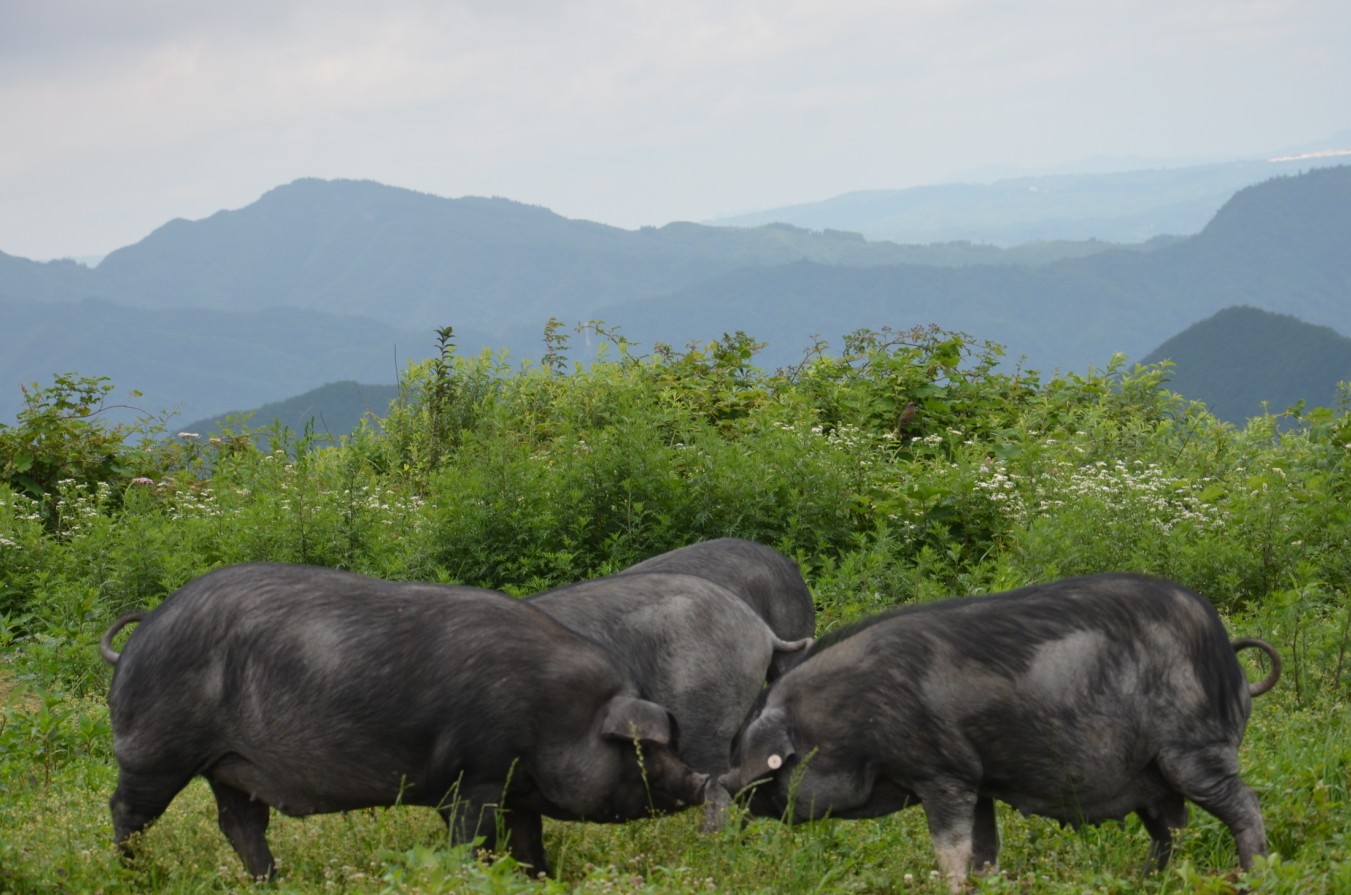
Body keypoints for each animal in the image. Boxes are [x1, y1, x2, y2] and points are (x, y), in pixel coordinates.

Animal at [101, 565, 713, 881]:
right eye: (642, 750)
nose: (701, 780)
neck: (560, 717)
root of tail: (140, 634)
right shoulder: (475, 776)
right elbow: (475, 841)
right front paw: (475, 877)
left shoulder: (516, 785)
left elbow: (529, 841)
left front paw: (538, 880)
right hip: (156, 750)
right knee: (127, 810)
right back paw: (134, 875)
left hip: (230, 765)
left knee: (240, 823)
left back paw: (273, 881)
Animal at [724, 575, 1280, 892]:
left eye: (774, 765)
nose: (726, 787)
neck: (851, 715)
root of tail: (1230, 658)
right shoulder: (980, 779)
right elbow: (984, 848)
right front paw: (987, 882)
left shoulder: (941, 771)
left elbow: (950, 849)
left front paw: (952, 886)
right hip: (1151, 776)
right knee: (1171, 829)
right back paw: (1144, 882)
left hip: (1193, 750)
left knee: (1246, 806)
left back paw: (1254, 876)